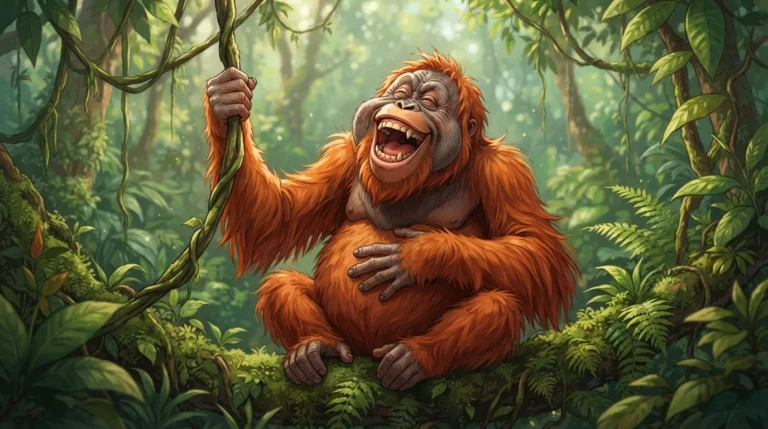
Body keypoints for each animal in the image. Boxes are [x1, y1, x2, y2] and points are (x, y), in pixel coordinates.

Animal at [203, 51, 578, 391]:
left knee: (498, 306)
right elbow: (276, 218)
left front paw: (418, 254)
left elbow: (539, 250)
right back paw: (314, 346)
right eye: (401, 93)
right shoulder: (344, 154)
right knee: (281, 284)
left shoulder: (504, 171)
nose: (406, 105)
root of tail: (366, 351)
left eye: (429, 102)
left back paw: (413, 359)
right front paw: (226, 100)